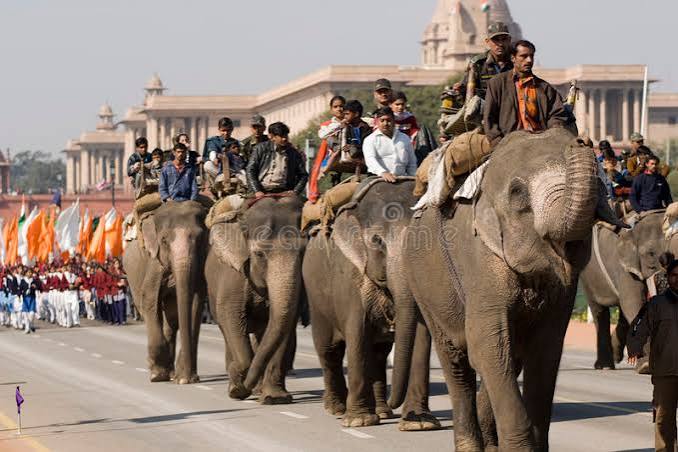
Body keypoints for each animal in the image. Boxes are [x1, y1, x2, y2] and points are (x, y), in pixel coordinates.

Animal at [123, 200, 209, 384]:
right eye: (164, 240)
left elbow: (196, 303)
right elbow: (149, 299)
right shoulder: (154, 261)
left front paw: (185, 378)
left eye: (200, 238)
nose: (186, 379)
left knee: (172, 319)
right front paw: (157, 375)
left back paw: (172, 374)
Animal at [205, 195, 305, 404]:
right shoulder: (233, 275)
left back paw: (259, 390)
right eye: (259, 254)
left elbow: (285, 324)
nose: (244, 388)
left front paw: (275, 398)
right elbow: (231, 317)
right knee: (226, 331)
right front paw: (237, 388)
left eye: (303, 253)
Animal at [303, 178, 439, 431]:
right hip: (315, 295)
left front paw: (419, 423)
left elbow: (421, 336)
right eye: (377, 241)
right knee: (329, 350)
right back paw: (337, 409)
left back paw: (383, 412)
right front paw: (359, 421)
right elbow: (358, 333)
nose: (396, 402)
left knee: (378, 354)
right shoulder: (350, 276)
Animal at [392, 129, 621, 451]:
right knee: (456, 360)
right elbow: (486, 345)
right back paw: (470, 444)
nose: (583, 141)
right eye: (517, 192)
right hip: (424, 284)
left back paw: (490, 442)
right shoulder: (480, 258)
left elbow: (545, 350)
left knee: (510, 358)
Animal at [581, 209, 678, 370]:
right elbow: (633, 303)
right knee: (599, 311)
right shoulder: (624, 267)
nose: (663, 277)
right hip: (588, 275)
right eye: (650, 254)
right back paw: (604, 366)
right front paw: (646, 366)